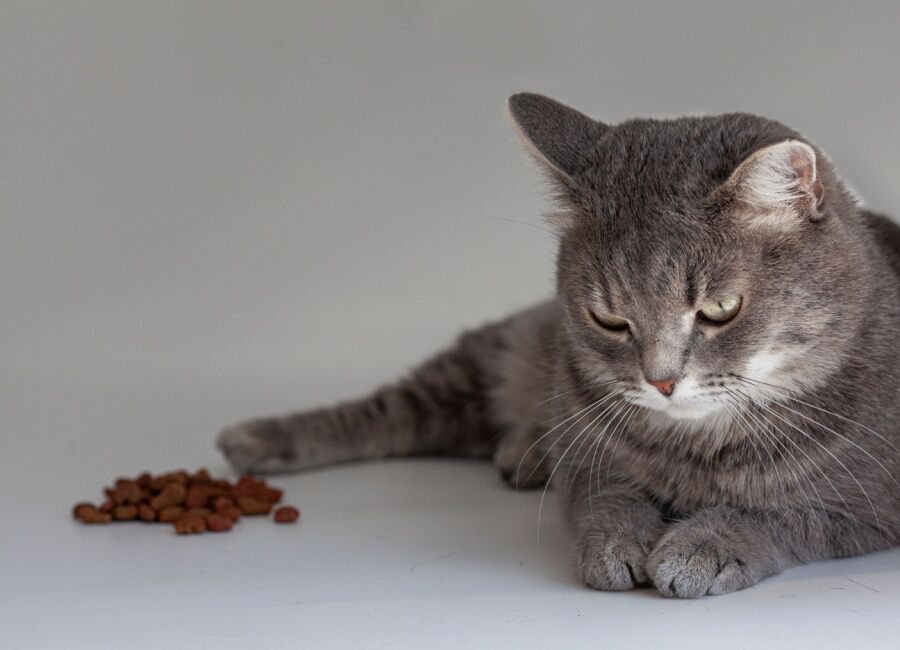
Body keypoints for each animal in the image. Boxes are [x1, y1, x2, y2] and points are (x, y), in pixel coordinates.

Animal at [218, 93, 900, 596]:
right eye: (609, 318)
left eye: (719, 310)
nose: (661, 380)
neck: (693, 449)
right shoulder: (589, 457)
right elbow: (606, 496)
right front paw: (621, 543)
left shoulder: (869, 508)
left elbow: (783, 516)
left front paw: (701, 546)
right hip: (499, 351)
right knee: (388, 411)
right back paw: (255, 439)